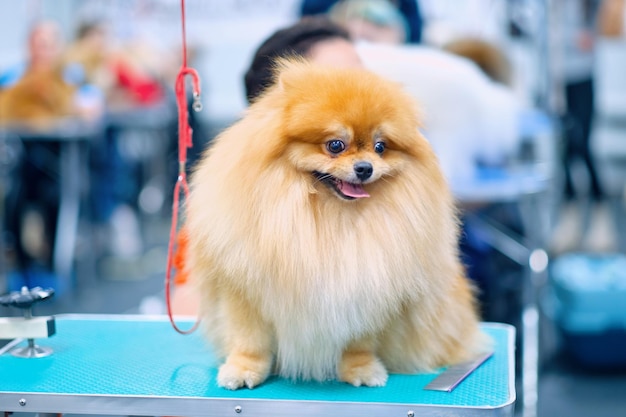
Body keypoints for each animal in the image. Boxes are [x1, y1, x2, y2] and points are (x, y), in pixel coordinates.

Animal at [185, 57, 488, 388]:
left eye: (380, 147)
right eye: (335, 145)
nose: (365, 168)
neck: (329, 216)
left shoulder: (367, 289)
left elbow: (360, 341)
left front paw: (362, 369)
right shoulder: (242, 289)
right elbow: (249, 339)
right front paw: (243, 368)